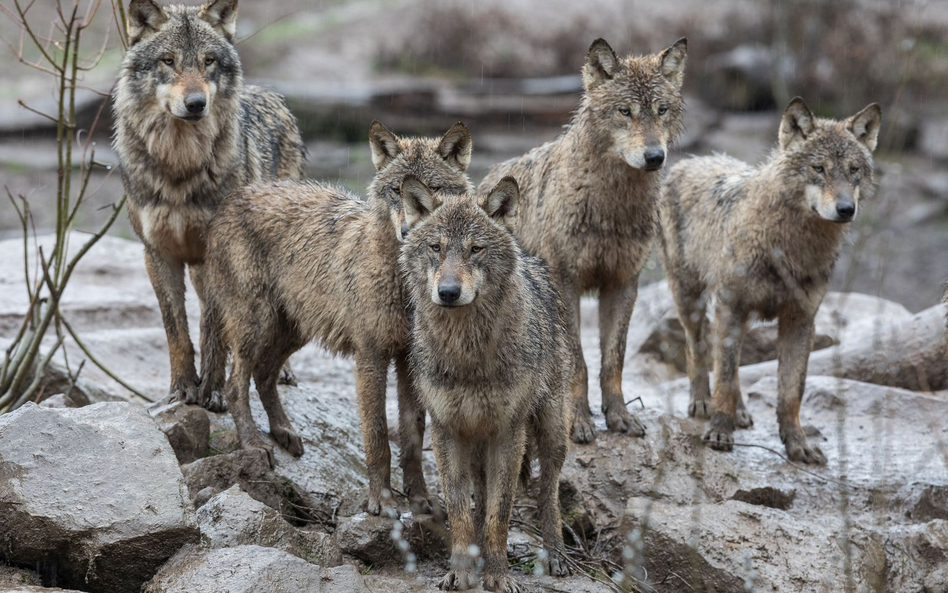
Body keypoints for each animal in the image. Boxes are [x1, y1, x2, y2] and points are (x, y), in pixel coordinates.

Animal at [111, 0, 306, 408]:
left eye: (209, 61)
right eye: (168, 61)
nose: (196, 103)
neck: (179, 167)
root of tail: (269, 93)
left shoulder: (212, 255)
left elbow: (213, 331)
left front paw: (213, 391)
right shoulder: (158, 254)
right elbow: (177, 332)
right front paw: (182, 389)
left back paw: (278, 370)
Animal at [400, 173, 572, 588]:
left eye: (475, 249)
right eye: (435, 247)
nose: (448, 292)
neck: (468, 355)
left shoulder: (508, 432)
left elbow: (500, 512)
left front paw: (498, 576)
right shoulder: (446, 430)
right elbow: (461, 510)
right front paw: (460, 573)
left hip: (551, 430)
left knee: (549, 491)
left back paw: (556, 555)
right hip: (475, 441)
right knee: (478, 495)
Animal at [482, 37, 688, 444]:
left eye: (661, 110)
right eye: (625, 111)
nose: (655, 156)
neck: (613, 209)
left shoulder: (624, 283)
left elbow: (614, 360)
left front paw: (620, 417)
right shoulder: (567, 283)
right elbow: (577, 361)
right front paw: (577, 420)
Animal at [660, 97, 880, 464]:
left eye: (853, 170)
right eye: (818, 168)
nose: (846, 209)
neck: (790, 246)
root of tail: (692, 160)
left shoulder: (800, 320)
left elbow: (791, 393)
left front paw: (798, 444)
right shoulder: (731, 307)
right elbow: (723, 378)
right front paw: (719, 431)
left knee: (730, 362)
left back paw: (740, 412)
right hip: (691, 299)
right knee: (699, 348)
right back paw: (703, 402)